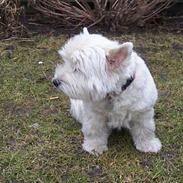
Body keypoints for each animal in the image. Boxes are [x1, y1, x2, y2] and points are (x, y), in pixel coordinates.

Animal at [52, 27, 162, 155]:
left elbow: (145, 129)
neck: (115, 92)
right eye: (65, 61)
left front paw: (148, 145)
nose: (55, 81)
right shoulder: (94, 113)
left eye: (77, 69)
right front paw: (94, 147)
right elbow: (94, 130)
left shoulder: (142, 111)